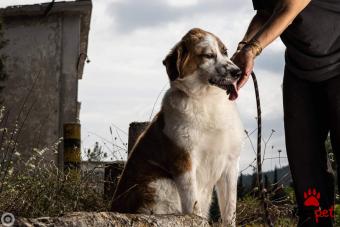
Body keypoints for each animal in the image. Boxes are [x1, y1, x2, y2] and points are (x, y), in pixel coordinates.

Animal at [113, 27, 243, 225]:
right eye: (208, 55)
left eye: (225, 52)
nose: (238, 72)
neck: (206, 100)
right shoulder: (185, 162)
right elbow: (193, 204)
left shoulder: (230, 164)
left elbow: (229, 211)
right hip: (161, 184)